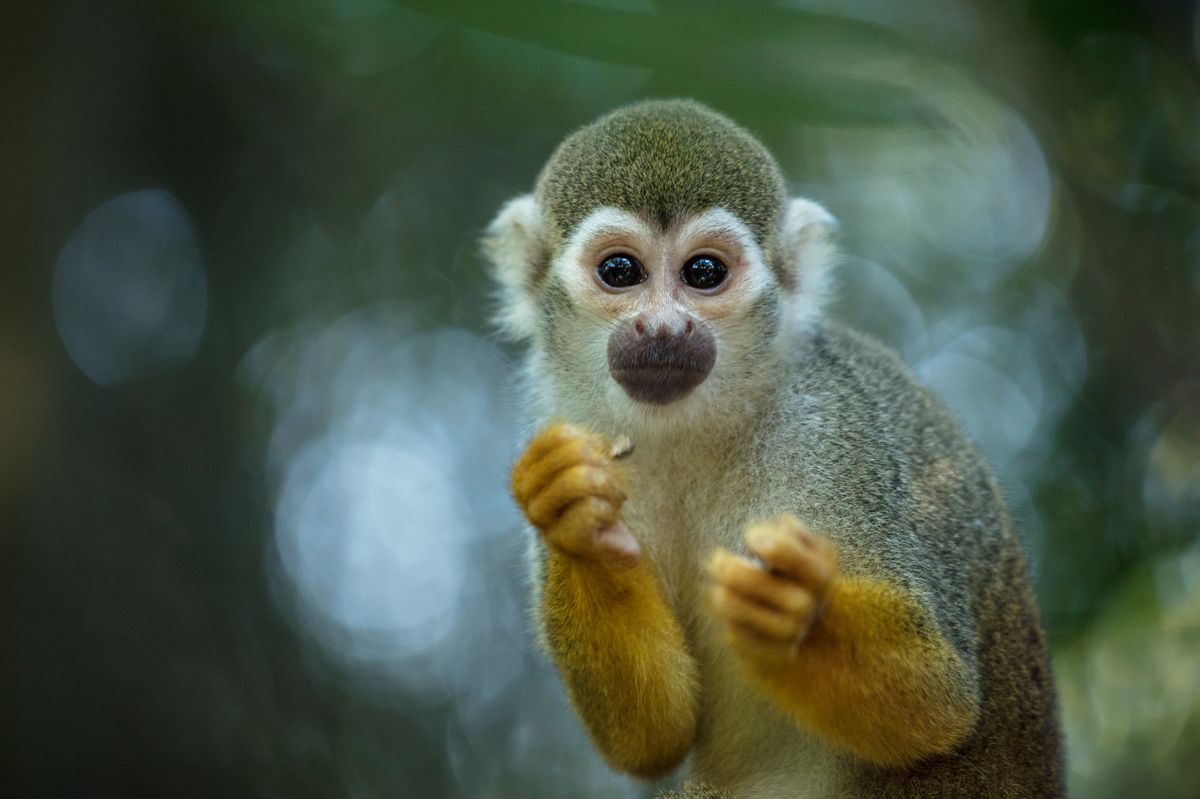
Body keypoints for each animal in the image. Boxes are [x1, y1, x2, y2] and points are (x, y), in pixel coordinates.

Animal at [483, 99, 1063, 798]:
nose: (663, 328)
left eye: (704, 273)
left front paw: (797, 613)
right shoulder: (568, 418)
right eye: (619, 272)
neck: (697, 425)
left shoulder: (833, 427)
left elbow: (936, 700)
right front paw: (574, 519)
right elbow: (653, 736)